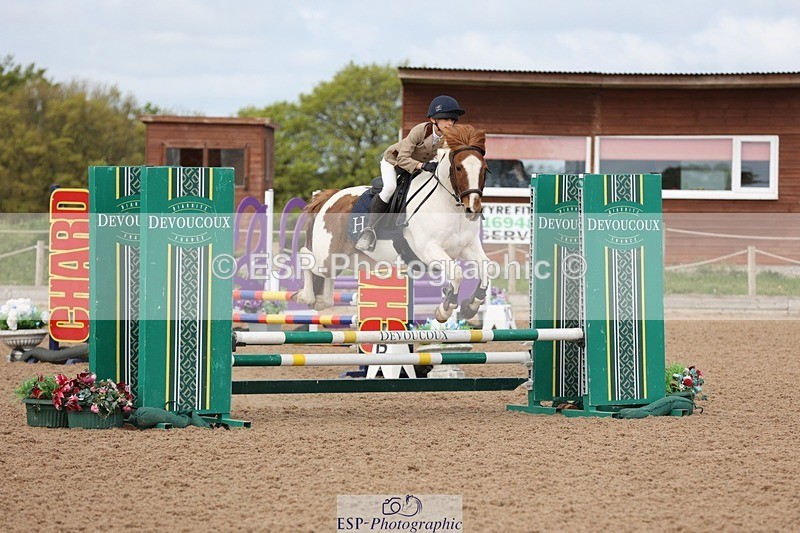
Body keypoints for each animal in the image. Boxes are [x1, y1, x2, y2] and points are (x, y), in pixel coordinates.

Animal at [294, 123, 493, 323]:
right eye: (458, 168)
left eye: (485, 168)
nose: (473, 209)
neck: (449, 205)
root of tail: (331, 196)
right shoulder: (429, 249)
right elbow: (457, 273)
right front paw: (444, 310)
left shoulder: (467, 246)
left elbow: (487, 268)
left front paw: (470, 306)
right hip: (326, 256)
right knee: (306, 255)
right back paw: (304, 296)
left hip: (347, 260)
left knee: (327, 285)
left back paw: (319, 301)